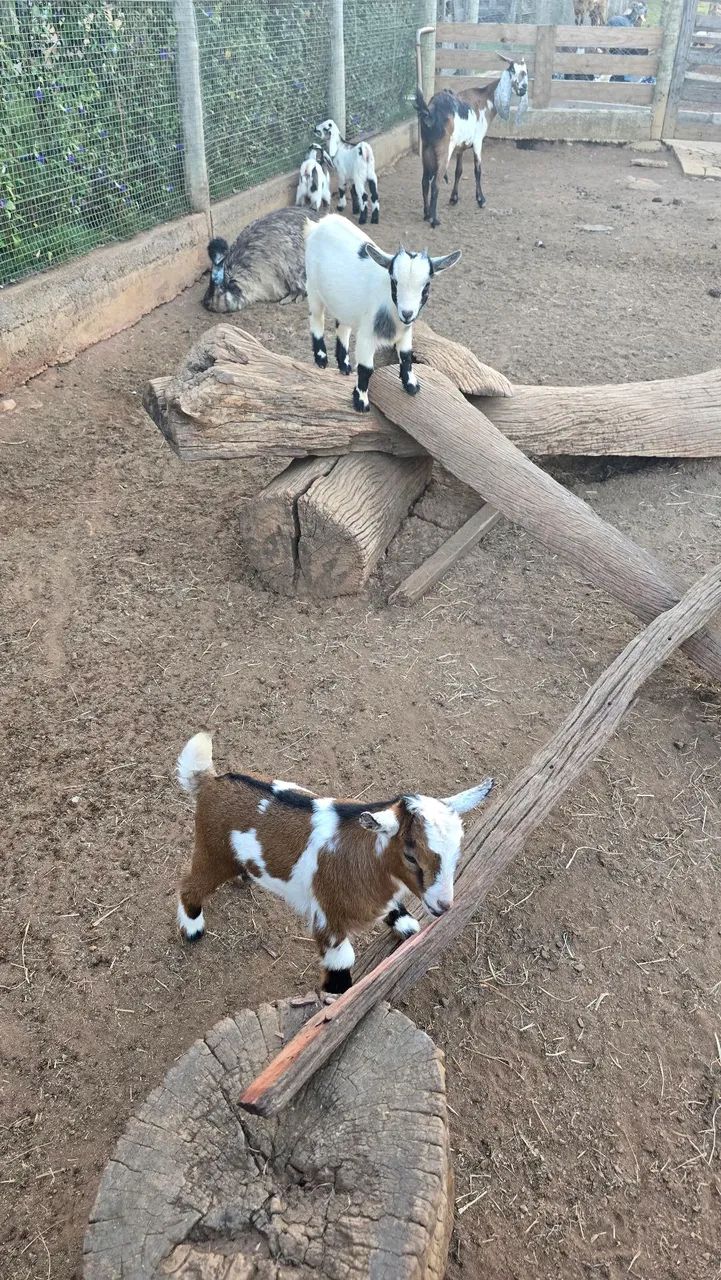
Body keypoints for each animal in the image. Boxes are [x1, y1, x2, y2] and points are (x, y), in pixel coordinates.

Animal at [175, 732, 493, 994]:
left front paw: (406, 925)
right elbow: (341, 964)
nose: (443, 906)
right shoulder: (328, 918)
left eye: (457, 852)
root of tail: (209, 781)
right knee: (189, 885)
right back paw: (193, 929)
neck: (366, 858)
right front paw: (333, 1001)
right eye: (411, 855)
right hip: (212, 852)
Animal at [304, 213, 461, 413]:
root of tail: (319, 224)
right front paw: (361, 401)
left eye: (426, 285)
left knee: (342, 326)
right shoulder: (367, 335)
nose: (407, 313)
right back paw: (321, 358)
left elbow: (406, 355)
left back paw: (344, 365)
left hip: (343, 302)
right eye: (394, 281)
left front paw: (411, 385)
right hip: (312, 287)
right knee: (317, 318)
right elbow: (366, 369)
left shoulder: (406, 331)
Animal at [415, 55, 529, 228]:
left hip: (426, 149)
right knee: (435, 183)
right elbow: (478, 170)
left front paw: (454, 198)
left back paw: (427, 214)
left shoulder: (460, 147)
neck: (486, 100)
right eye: (512, 70)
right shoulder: (478, 141)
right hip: (443, 150)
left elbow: (459, 171)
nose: (523, 89)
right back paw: (435, 220)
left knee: (424, 182)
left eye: (526, 71)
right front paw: (481, 200)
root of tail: (430, 112)